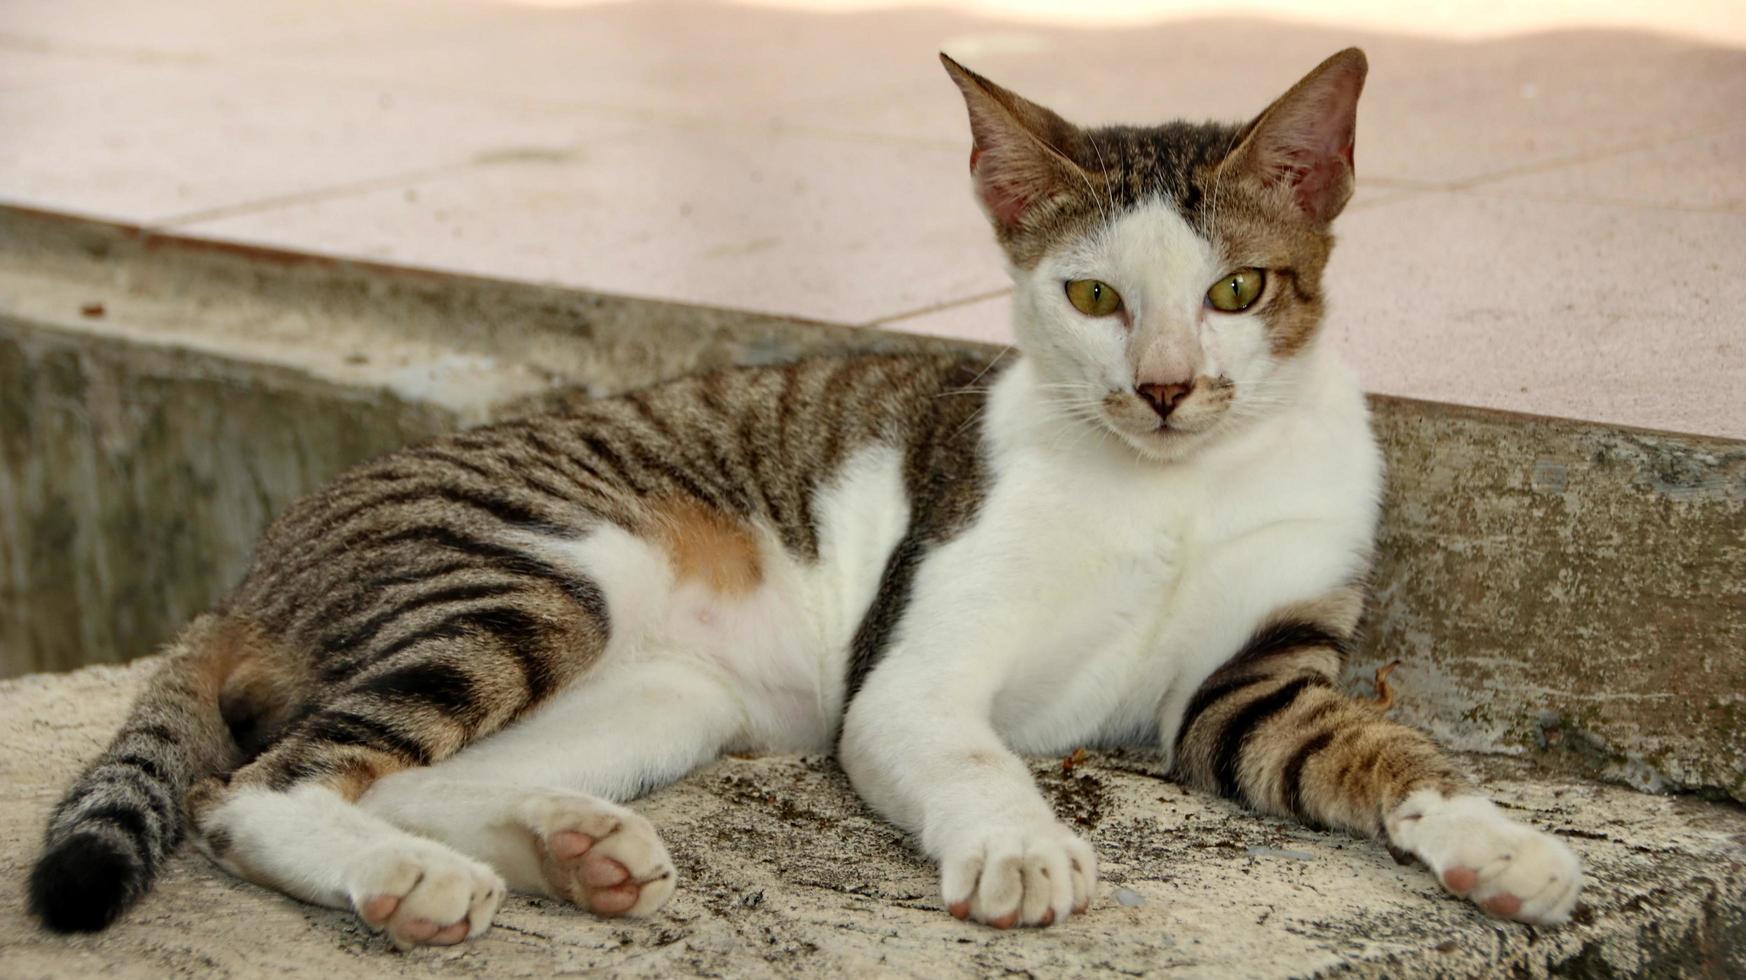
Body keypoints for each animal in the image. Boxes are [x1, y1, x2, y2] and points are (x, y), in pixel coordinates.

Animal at [27, 47, 1585, 950]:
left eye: (1238, 290)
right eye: (1091, 296)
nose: (1160, 388)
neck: (1176, 487)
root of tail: (251, 566)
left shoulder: (1251, 685)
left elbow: (1386, 753)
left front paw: (1499, 845)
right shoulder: (912, 670)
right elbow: (976, 755)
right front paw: (1024, 845)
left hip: (665, 692)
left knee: (410, 774)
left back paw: (571, 852)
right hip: (528, 581)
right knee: (259, 784)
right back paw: (416, 886)